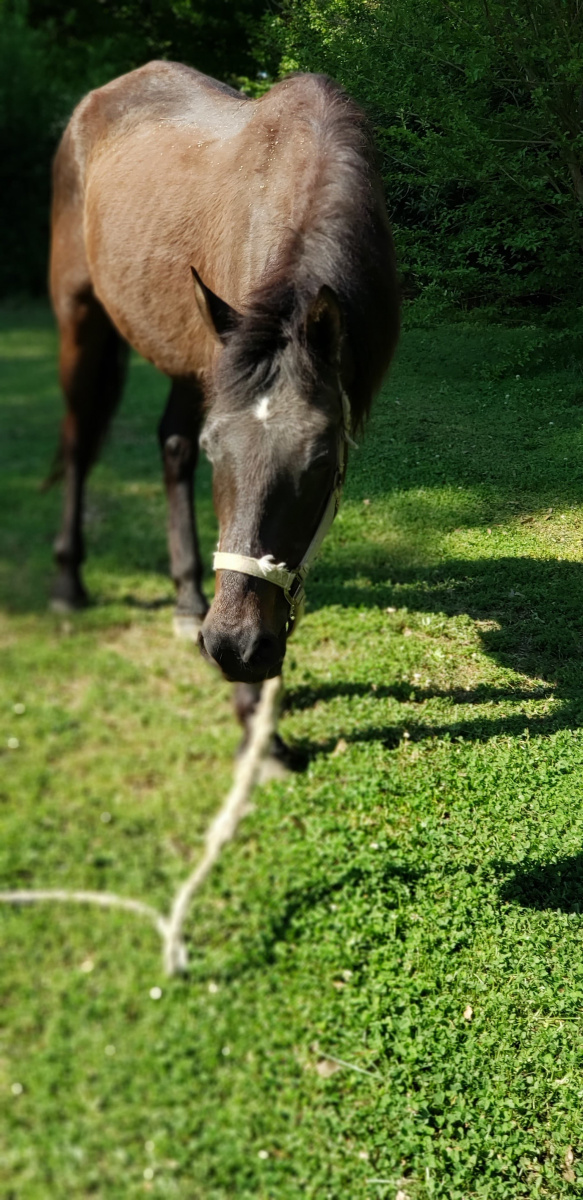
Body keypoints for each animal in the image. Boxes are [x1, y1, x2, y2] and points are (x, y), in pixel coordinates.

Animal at [48, 60, 400, 744]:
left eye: (323, 464)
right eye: (222, 455)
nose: (234, 648)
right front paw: (256, 723)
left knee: (169, 446)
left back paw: (188, 599)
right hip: (82, 323)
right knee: (78, 442)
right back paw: (70, 582)